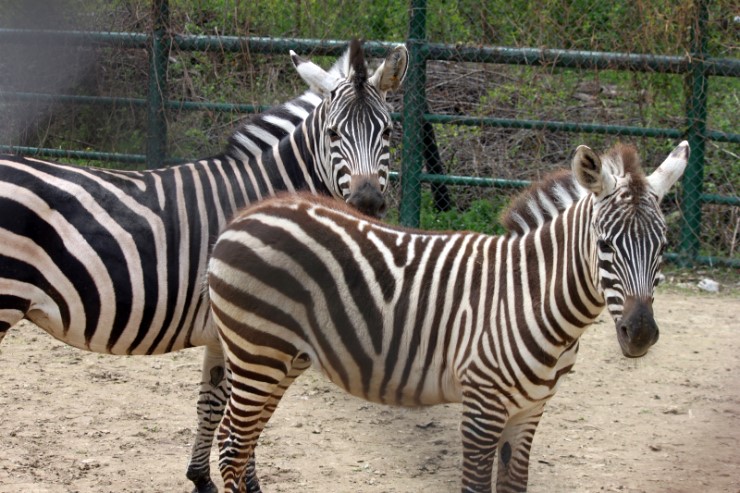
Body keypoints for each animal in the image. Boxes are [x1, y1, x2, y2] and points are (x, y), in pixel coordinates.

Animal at [0, 39, 408, 493]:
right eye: (334, 134)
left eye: (388, 132)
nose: (367, 203)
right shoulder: (257, 331)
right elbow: (248, 417)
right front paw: (247, 484)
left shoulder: (223, 332)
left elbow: (212, 405)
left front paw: (201, 478)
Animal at [207, 141, 689, 492]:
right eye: (605, 244)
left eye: (664, 246)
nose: (640, 333)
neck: (529, 296)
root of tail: (245, 214)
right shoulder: (482, 406)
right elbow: (475, 487)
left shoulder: (529, 411)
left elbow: (514, 485)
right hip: (258, 354)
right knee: (232, 448)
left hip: (282, 359)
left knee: (238, 440)